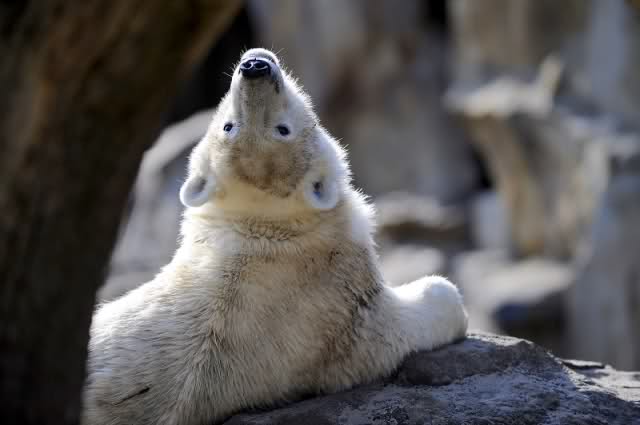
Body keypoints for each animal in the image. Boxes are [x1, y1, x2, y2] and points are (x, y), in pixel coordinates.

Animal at [81, 48, 468, 425]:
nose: (254, 68)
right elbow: (395, 327)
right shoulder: (341, 308)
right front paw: (447, 301)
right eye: (230, 125)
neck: (265, 229)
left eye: (282, 129)